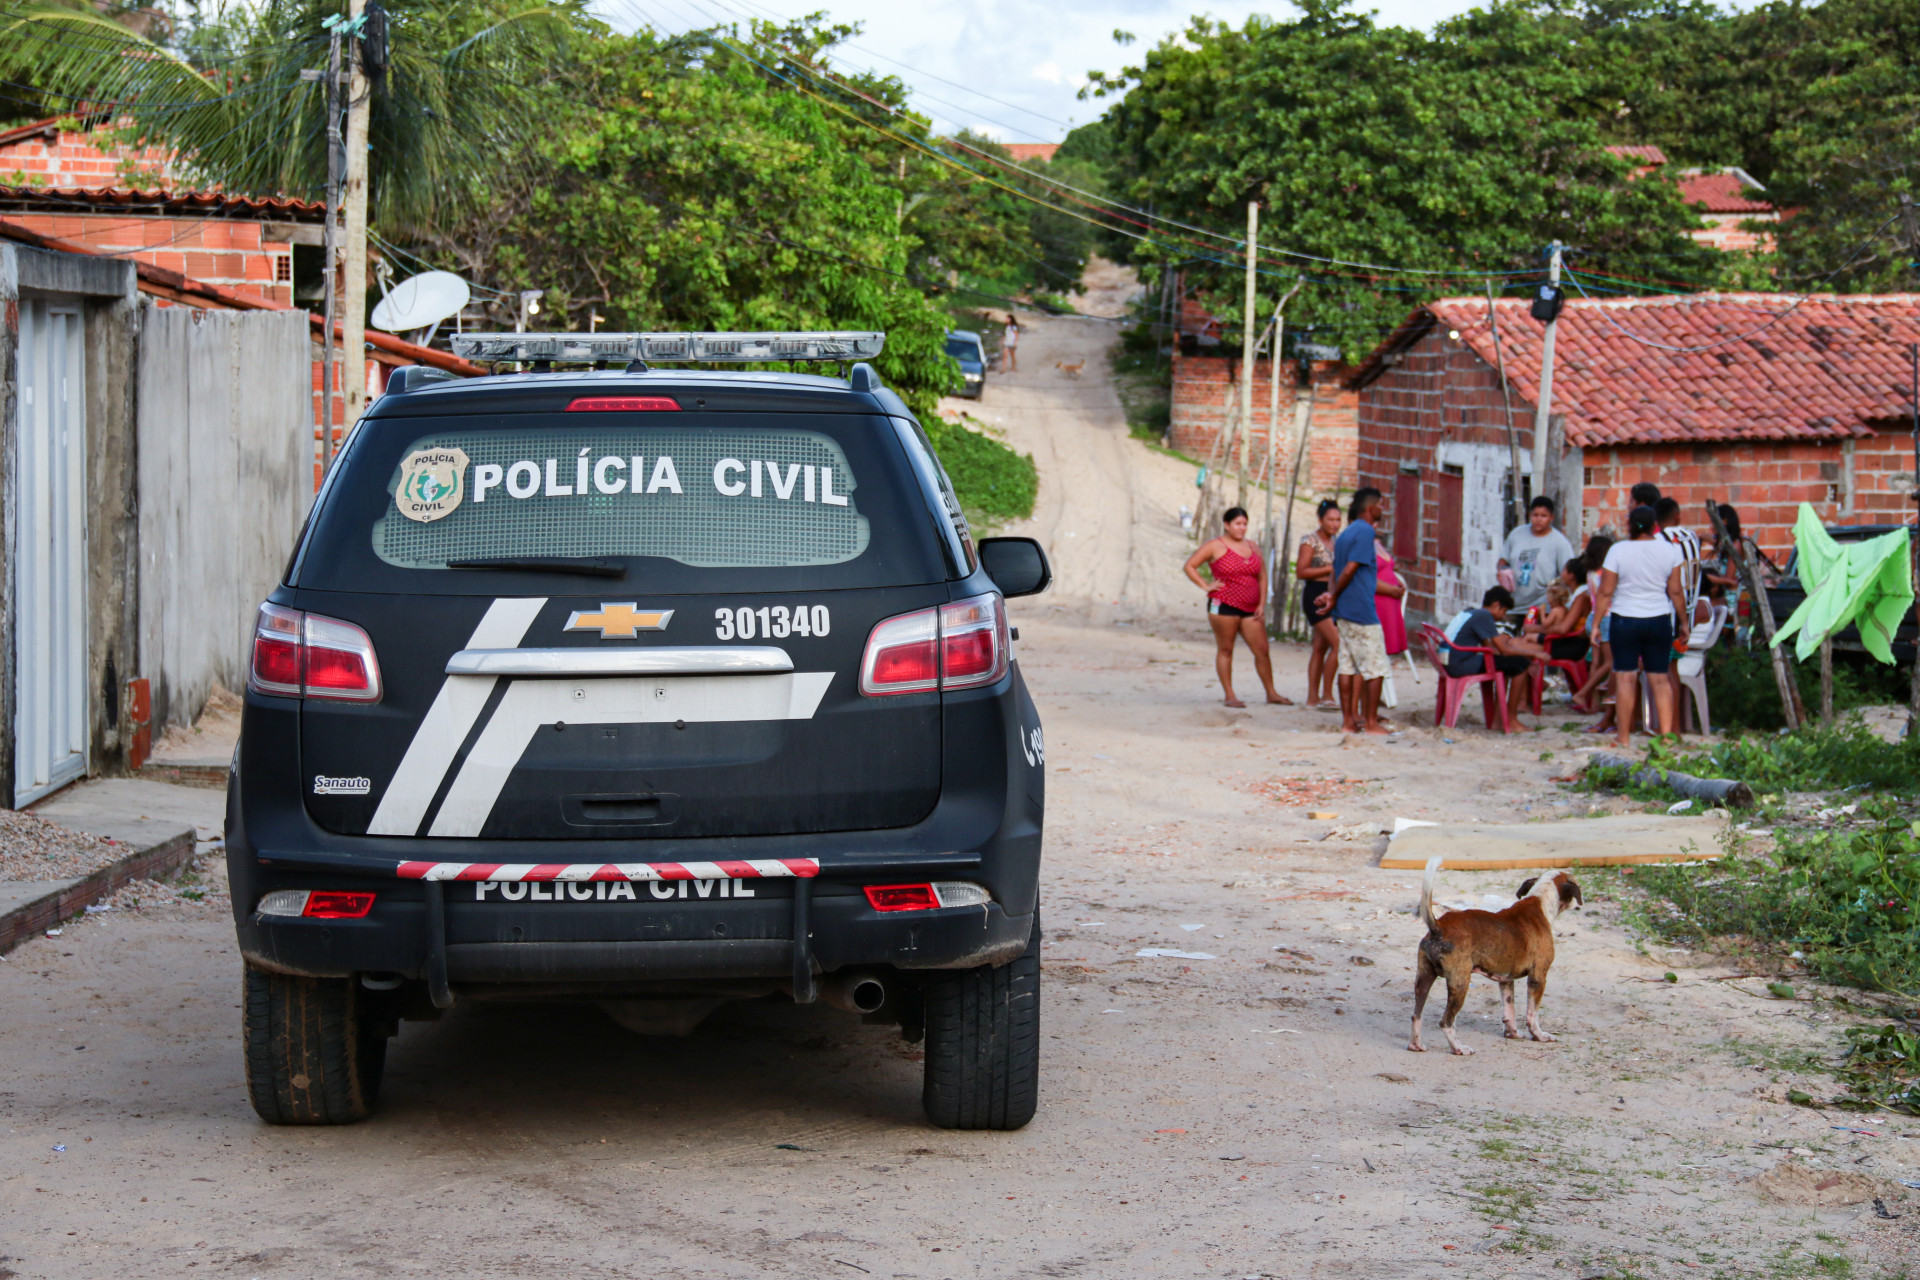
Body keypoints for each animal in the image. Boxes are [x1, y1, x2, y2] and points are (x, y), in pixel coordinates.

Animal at [1405, 855, 1582, 1059]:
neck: (1540, 901)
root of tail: (1438, 928)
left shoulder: (1505, 980)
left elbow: (1509, 1011)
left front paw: (1512, 1034)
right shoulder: (1538, 977)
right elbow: (1532, 1014)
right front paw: (1539, 1035)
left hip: (1424, 978)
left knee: (1416, 1015)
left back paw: (1416, 1045)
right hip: (1460, 983)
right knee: (1446, 1022)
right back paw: (1459, 1048)